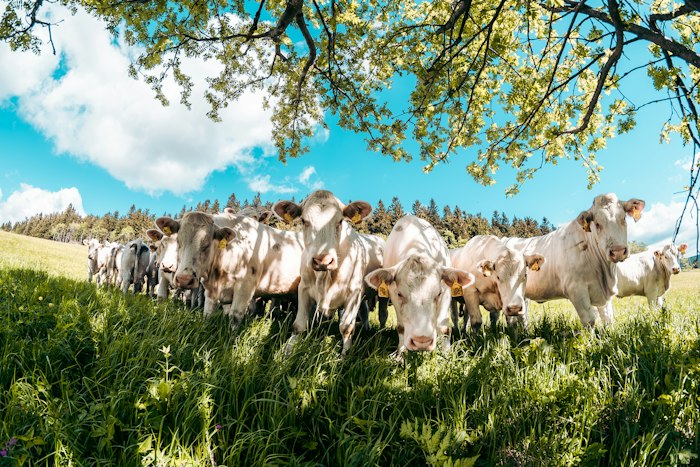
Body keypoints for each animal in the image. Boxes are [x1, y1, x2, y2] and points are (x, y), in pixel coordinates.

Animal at [155, 211, 304, 328]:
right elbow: (207, 314)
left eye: (207, 244)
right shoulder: (210, 291)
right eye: (179, 242)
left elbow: (235, 317)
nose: (184, 280)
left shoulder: (245, 288)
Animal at [272, 190, 377, 355]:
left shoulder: (354, 293)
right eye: (303, 221)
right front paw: (287, 353)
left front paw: (344, 356)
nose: (323, 260)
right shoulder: (303, 289)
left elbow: (346, 327)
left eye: (340, 221)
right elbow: (298, 325)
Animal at [364, 215, 474, 355]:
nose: (422, 341)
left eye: (438, 293)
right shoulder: (393, 294)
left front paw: (446, 354)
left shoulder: (446, 292)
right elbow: (401, 327)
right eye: (400, 294)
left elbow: (443, 327)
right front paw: (401, 353)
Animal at [502, 193, 645, 326]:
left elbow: (608, 319)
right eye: (597, 223)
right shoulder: (576, 290)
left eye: (624, 218)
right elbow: (589, 321)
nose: (618, 251)